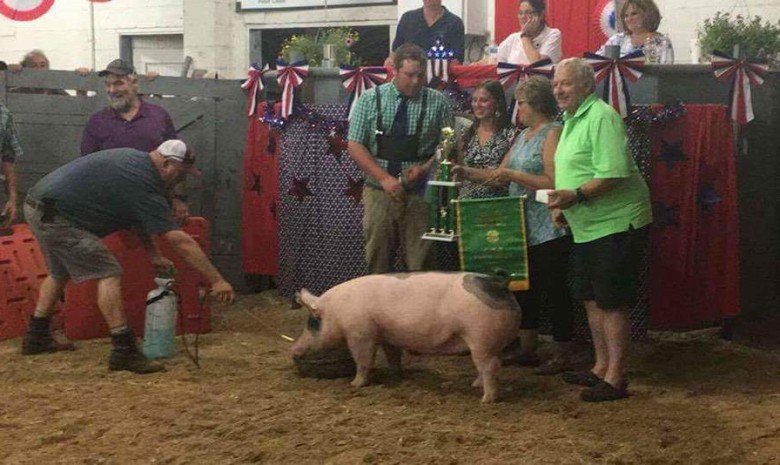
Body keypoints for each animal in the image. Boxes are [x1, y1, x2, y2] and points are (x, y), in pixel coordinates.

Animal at [290, 272, 520, 402]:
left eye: (312, 323)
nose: (293, 350)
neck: (335, 310)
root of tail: (500, 284)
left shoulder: (360, 334)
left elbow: (363, 361)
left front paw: (355, 384)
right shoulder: (387, 336)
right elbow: (393, 356)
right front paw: (396, 376)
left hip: (481, 338)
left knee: (490, 367)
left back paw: (486, 399)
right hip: (489, 343)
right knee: (487, 366)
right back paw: (475, 386)